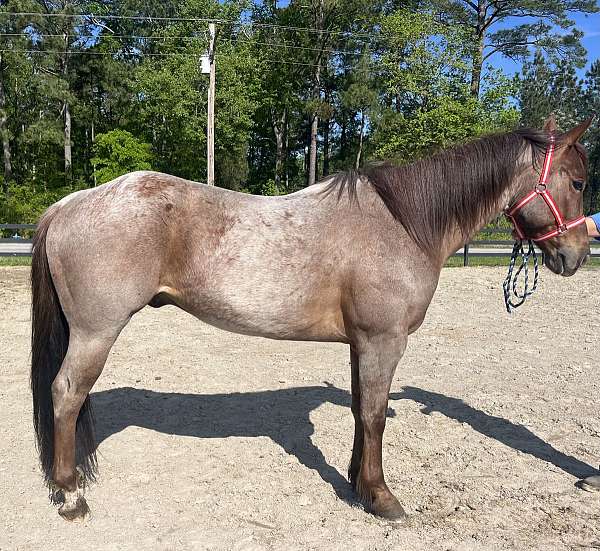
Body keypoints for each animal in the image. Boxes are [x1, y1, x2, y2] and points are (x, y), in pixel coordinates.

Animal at [31, 117, 592, 520]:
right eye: (580, 180)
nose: (578, 254)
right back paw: (71, 496)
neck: (401, 224)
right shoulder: (384, 341)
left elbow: (363, 411)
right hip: (96, 333)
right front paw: (382, 498)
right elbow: (373, 414)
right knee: (66, 394)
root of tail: (68, 204)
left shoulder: (362, 344)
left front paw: (358, 483)